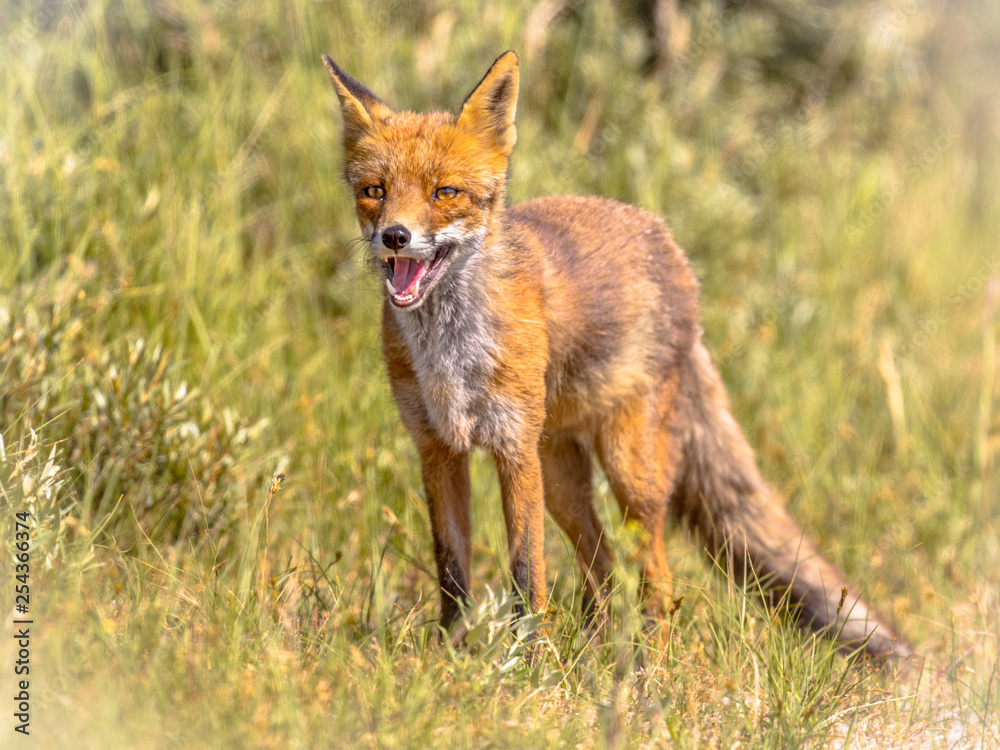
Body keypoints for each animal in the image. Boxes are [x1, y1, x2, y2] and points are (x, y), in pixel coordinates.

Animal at [322, 50, 911, 661]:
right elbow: (452, 570)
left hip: (630, 474)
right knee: (603, 568)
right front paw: (451, 657)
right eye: (374, 190)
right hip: (561, 479)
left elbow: (526, 572)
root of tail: (671, 247)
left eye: (444, 193)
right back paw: (603, 652)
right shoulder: (438, 449)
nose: (394, 236)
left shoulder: (513, 449)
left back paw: (653, 662)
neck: (450, 354)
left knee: (656, 576)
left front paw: (527, 664)